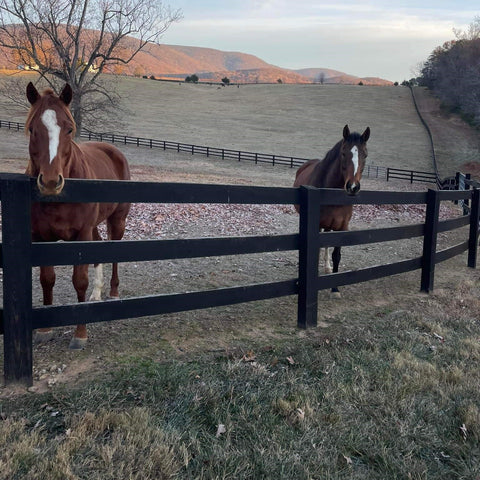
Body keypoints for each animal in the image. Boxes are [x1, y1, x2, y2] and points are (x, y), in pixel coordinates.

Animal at [25, 82, 131, 348]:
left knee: (114, 250)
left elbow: (79, 280)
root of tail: (113, 149)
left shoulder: (80, 235)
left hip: (117, 220)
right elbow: (47, 279)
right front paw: (45, 330)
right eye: (32, 129)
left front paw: (80, 334)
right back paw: (97, 292)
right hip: (94, 227)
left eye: (69, 129)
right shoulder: (41, 238)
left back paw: (113, 292)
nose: (50, 182)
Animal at [292, 124, 372, 296]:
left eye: (365, 155)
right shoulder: (316, 225)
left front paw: (335, 288)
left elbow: (337, 255)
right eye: (343, 153)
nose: (353, 187)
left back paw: (327, 267)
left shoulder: (342, 227)